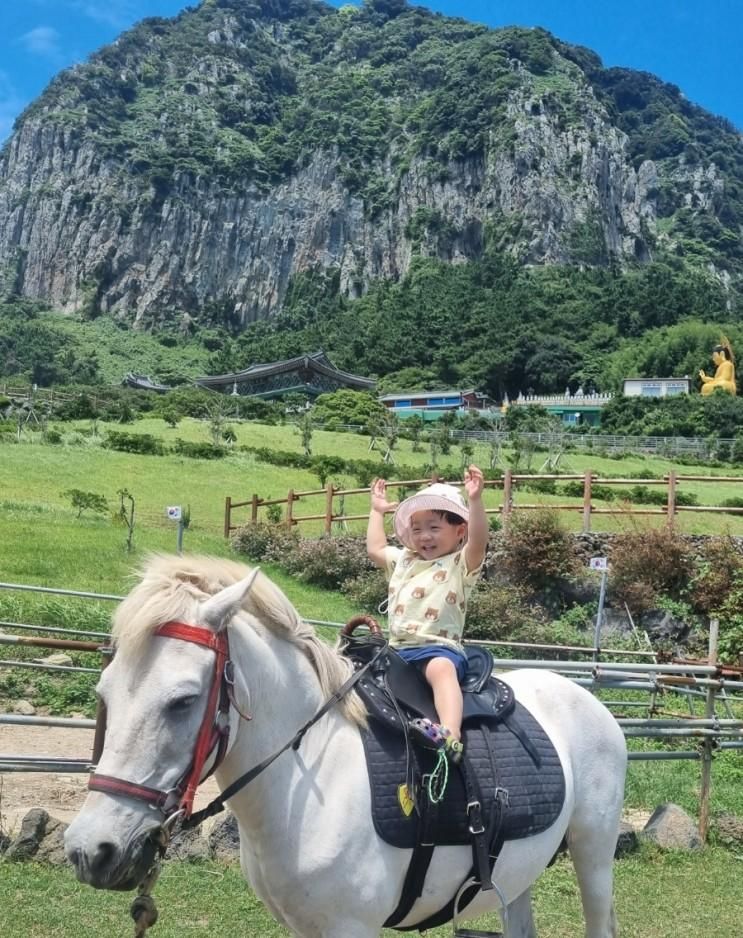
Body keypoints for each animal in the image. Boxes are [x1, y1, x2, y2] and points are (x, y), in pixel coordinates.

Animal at [65, 556, 628, 936]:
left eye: (182, 702)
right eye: (104, 694)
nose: (90, 850)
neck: (310, 778)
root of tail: (589, 700)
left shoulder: (349, 927)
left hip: (595, 854)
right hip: (519, 871)